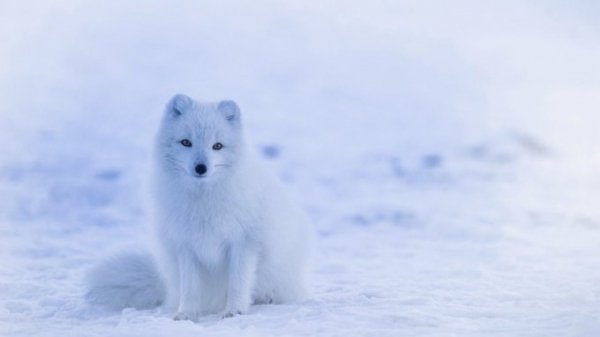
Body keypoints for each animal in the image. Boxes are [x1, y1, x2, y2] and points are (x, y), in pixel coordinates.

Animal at [89, 94, 316, 318]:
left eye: (217, 146)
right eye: (186, 142)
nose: (201, 168)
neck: (203, 201)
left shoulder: (244, 243)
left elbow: (238, 282)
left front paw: (234, 310)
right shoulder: (185, 245)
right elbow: (190, 288)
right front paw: (186, 314)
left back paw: (266, 298)